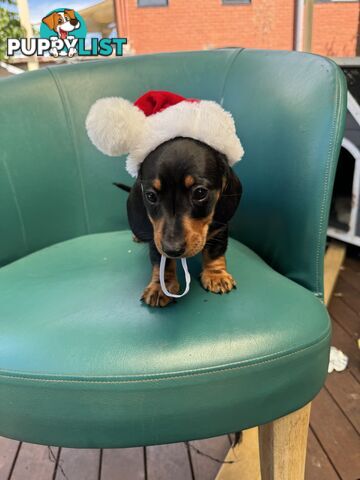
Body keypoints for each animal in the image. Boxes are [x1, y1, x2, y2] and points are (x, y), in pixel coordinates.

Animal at [121, 137, 242, 308]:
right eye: (150, 196)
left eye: (200, 192)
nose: (172, 250)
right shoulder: (156, 239)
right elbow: (161, 263)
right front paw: (161, 286)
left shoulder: (220, 229)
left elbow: (215, 252)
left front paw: (216, 275)